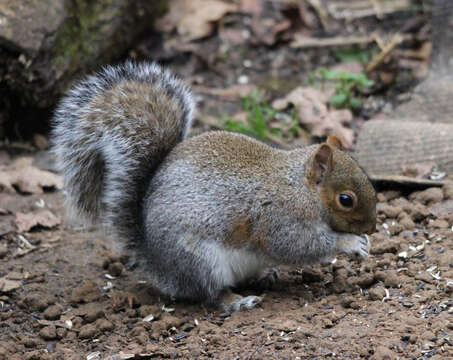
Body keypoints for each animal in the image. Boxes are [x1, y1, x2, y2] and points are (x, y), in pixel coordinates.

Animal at [51, 62, 376, 312]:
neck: (300, 187)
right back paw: (237, 301)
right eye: (346, 199)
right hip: (201, 261)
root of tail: (156, 262)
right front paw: (350, 243)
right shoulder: (279, 218)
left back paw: (265, 275)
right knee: (209, 293)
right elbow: (297, 244)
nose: (372, 228)